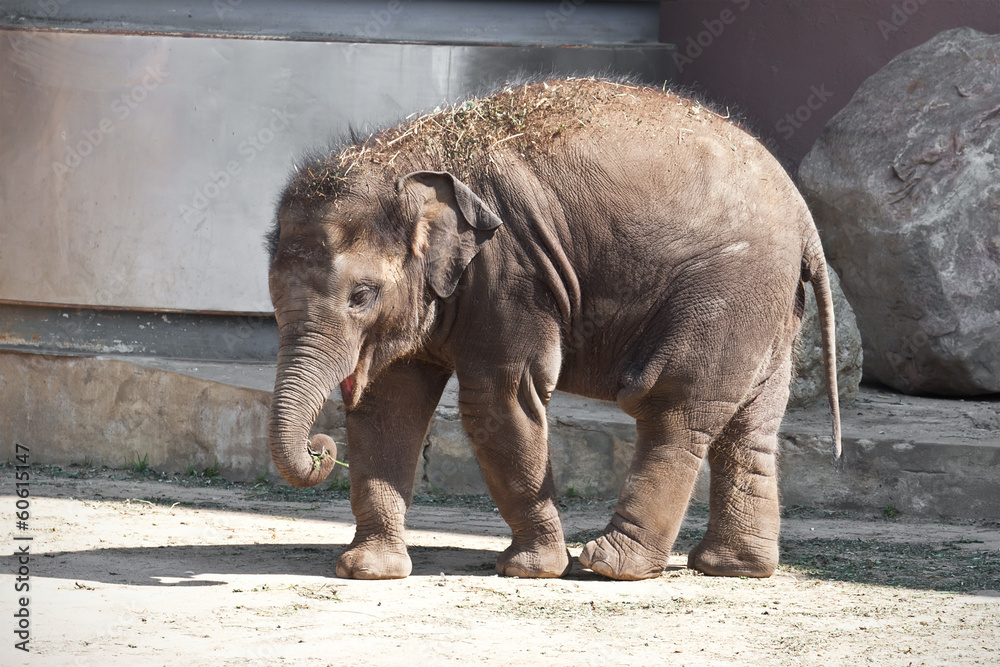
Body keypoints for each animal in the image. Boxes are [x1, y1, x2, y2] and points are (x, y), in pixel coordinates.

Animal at [265, 77, 841, 581]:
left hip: (729, 288)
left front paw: (531, 569)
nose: (320, 448)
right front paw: (368, 571)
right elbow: (389, 405)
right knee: (751, 423)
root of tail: (804, 217)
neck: (407, 157)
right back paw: (732, 568)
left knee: (673, 405)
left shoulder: (510, 274)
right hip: (770, 307)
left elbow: (499, 400)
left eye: (361, 296)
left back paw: (610, 565)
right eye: (271, 299)